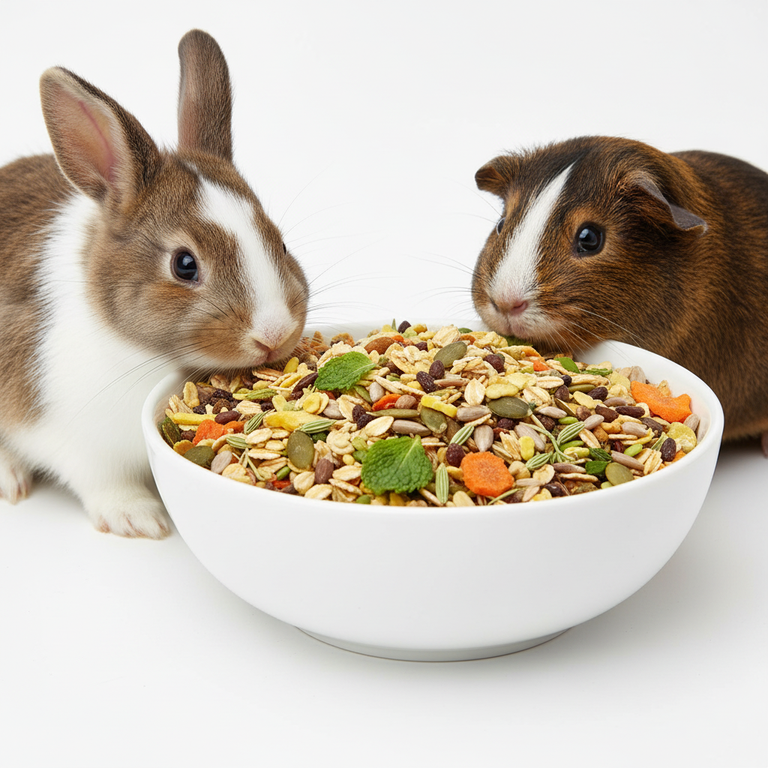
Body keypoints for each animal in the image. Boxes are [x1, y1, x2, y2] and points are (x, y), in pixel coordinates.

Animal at [0, 30, 310, 537]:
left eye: (281, 243)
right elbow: (104, 483)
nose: (274, 334)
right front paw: (141, 519)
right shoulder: (79, 444)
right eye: (184, 265)